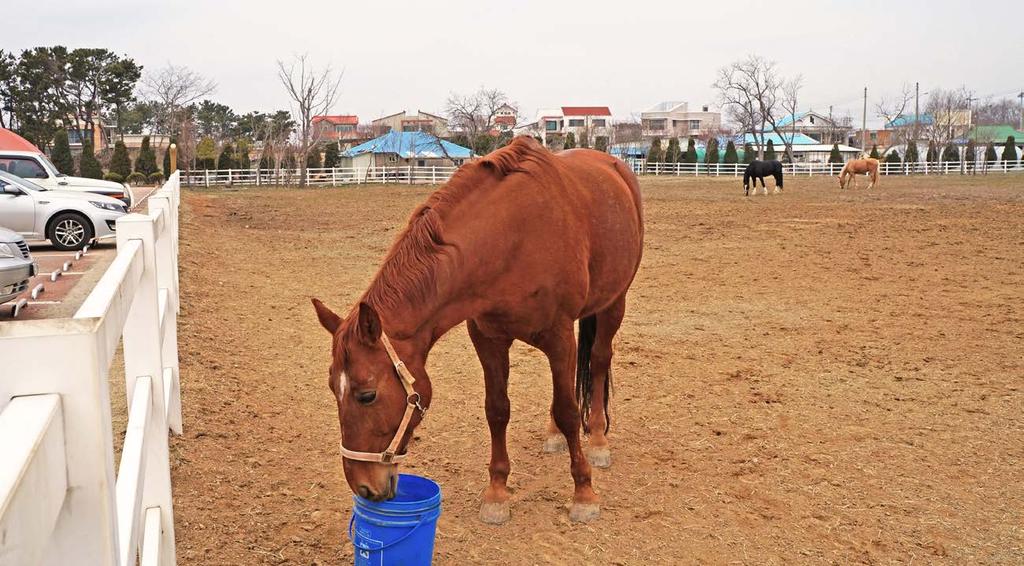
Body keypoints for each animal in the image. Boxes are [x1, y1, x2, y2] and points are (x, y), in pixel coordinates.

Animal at [309, 135, 638, 524]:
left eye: (367, 395)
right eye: (333, 389)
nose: (363, 486)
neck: (510, 239)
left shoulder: (559, 337)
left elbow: (570, 412)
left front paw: (583, 493)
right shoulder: (488, 339)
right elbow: (497, 409)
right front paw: (497, 492)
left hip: (614, 303)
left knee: (599, 362)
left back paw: (599, 441)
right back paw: (554, 434)